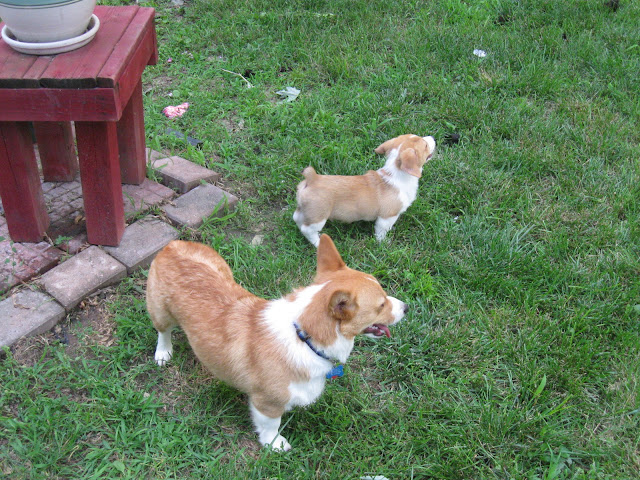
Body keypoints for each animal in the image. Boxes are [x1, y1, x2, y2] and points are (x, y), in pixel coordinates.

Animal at [146, 234, 407, 451]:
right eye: (381, 305)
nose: (406, 307)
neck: (303, 336)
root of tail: (172, 245)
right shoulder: (267, 403)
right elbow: (271, 425)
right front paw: (275, 445)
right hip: (160, 312)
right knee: (163, 331)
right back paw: (163, 353)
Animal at [293, 134, 436, 247]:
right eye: (425, 145)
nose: (433, 137)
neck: (396, 173)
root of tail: (313, 178)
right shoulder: (387, 217)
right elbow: (381, 232)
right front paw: (383, 243)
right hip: (319, 216)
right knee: (307, 230)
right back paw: (318, 243)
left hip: (305, 211)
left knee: (297, 218)